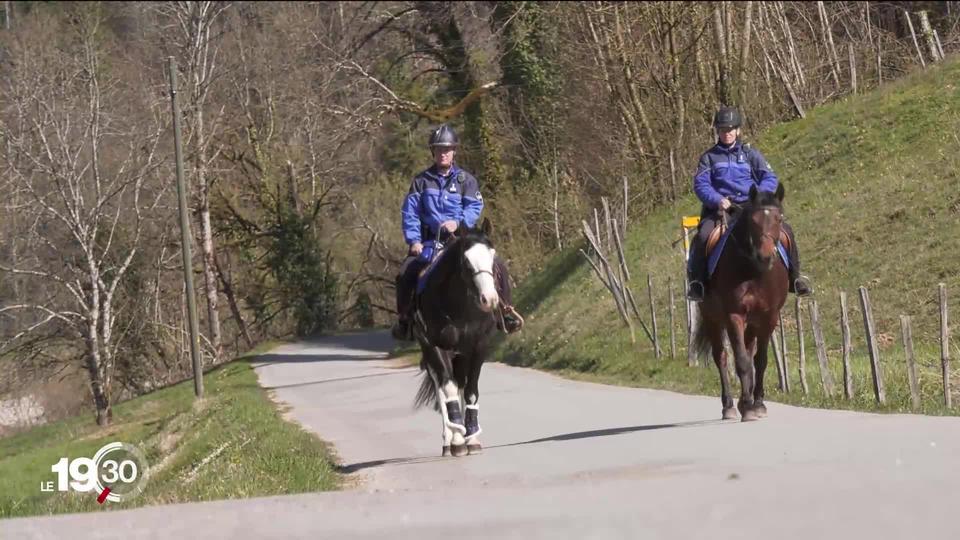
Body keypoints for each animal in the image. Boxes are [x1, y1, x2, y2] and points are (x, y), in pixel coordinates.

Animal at [414, 217, 502, 458]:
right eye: (466, 261)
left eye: (492, 255)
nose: (489, 299)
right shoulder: (436, 347)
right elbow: (449, 390)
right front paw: (457, 438)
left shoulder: (478, 347)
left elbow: (471, 390)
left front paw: (471, 436)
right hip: (432, 354)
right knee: (441, 387)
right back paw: (450, 441)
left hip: (460, 355)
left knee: (461, 383)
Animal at [692, 184, 792, 420]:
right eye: (753, 220)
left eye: (779, 218)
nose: (766, 256)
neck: (753, 270)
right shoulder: (734, 316)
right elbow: (741, 362)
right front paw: (747, 405)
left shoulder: (768, 317)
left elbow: (759, 361)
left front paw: (758, 404)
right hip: (712, 319)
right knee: (722, 357)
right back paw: (729, 406)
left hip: (752, 322)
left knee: (748, 350)